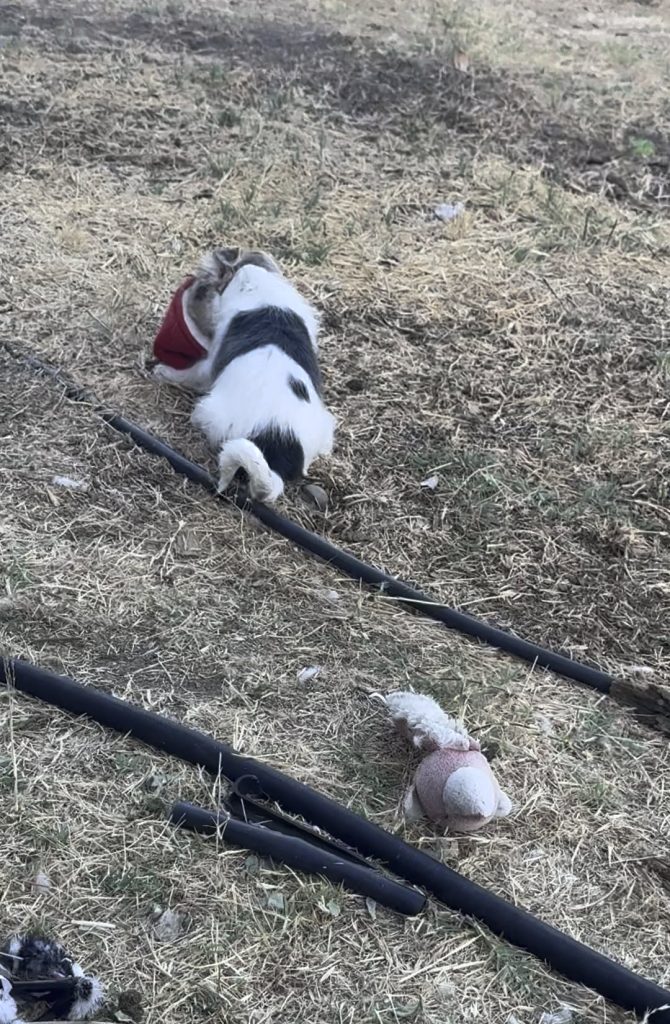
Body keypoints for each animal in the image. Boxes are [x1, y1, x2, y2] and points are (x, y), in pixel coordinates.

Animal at [152, 248, 336, 503]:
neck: (257, 282)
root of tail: (279, 454)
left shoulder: (210, 361)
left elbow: (190, 373)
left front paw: (163, 371)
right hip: (325, 424)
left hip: (209, 411)